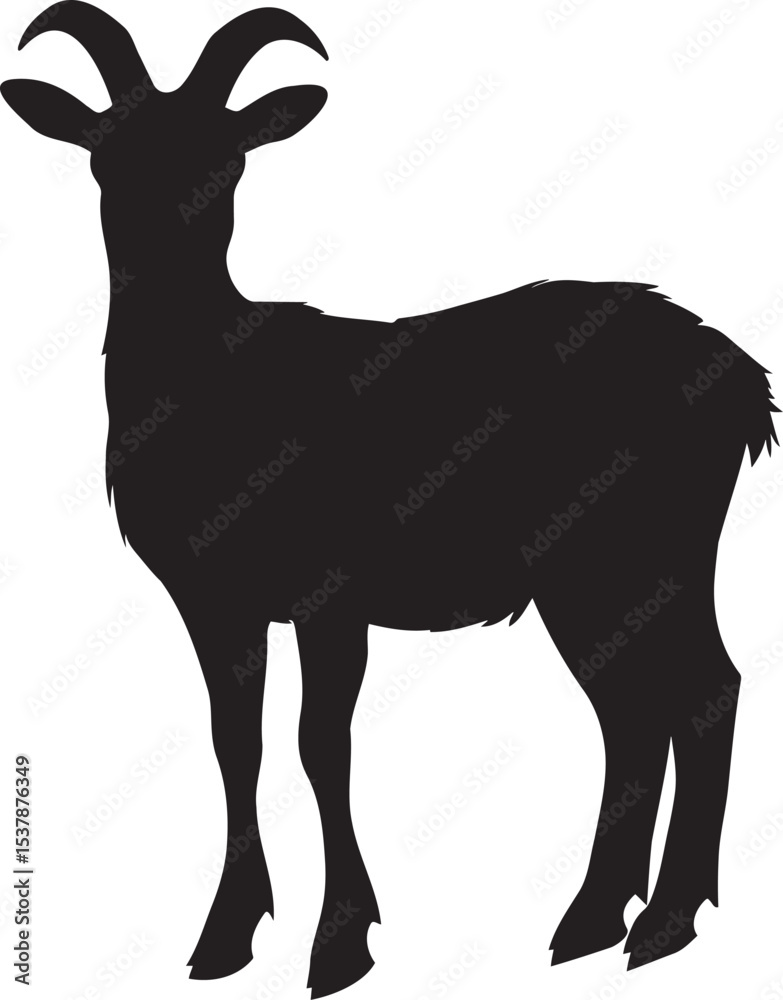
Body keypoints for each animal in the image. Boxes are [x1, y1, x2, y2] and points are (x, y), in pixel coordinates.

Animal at [3, 1, 779, 993]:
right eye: (107, 156)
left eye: (227, 159)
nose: (162, 237)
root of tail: (743, 383)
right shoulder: (215, 598)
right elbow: (235, 740)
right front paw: (224, 938)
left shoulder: (331, 590)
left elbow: (320, 742)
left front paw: (339, 946)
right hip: (603, 580)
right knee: (635, 709)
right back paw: (593, 923)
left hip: (634, 554)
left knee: (701, 690)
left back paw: (664, 923)